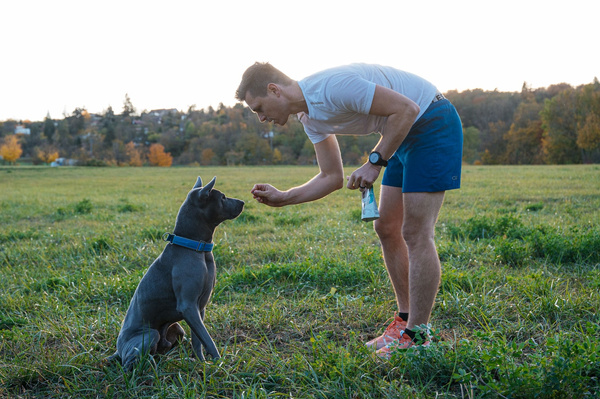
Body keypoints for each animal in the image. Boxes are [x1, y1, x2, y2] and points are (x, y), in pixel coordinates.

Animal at [110, 177, 244, 370]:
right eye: (223, 197)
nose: (243, 202)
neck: (196, 248)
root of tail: (118, 349)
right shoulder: (188, 306)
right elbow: (208, 340)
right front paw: (220, 364)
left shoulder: (199, 308)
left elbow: (198, 340)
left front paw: (201, 364)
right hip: (149, 335)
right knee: (129, 364)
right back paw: (150, 365)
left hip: (177, 329)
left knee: (160, 351)